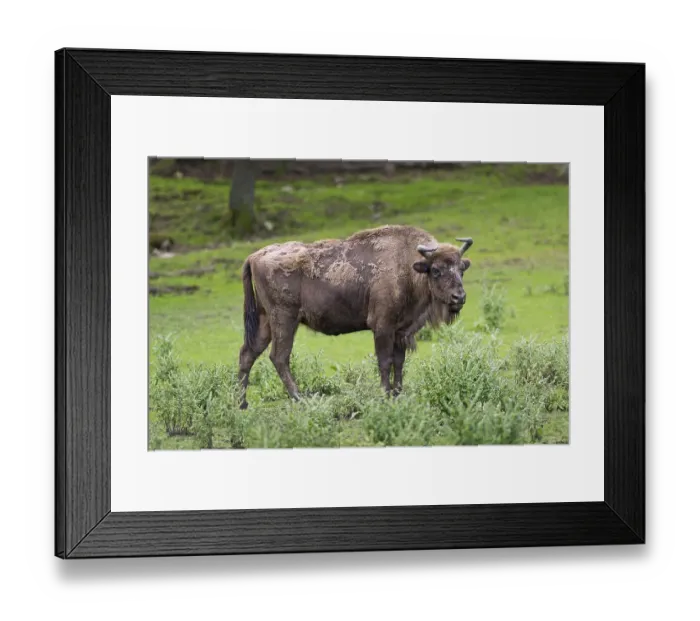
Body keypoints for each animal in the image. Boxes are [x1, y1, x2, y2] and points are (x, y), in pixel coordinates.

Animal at [238, 224, 473, 408]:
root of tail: (254, 256)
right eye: (436, 270)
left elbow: (399, 362)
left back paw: (241, 403)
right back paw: (299, 398)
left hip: (266, 322)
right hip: (284, 320)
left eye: (461, 269)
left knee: (248, 354)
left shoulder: (400, 331)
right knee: (279, 356)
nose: (459, 297)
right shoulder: (382, 327)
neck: (408, 266)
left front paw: (398, 394)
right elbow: (385, 361)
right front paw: (385, 394)